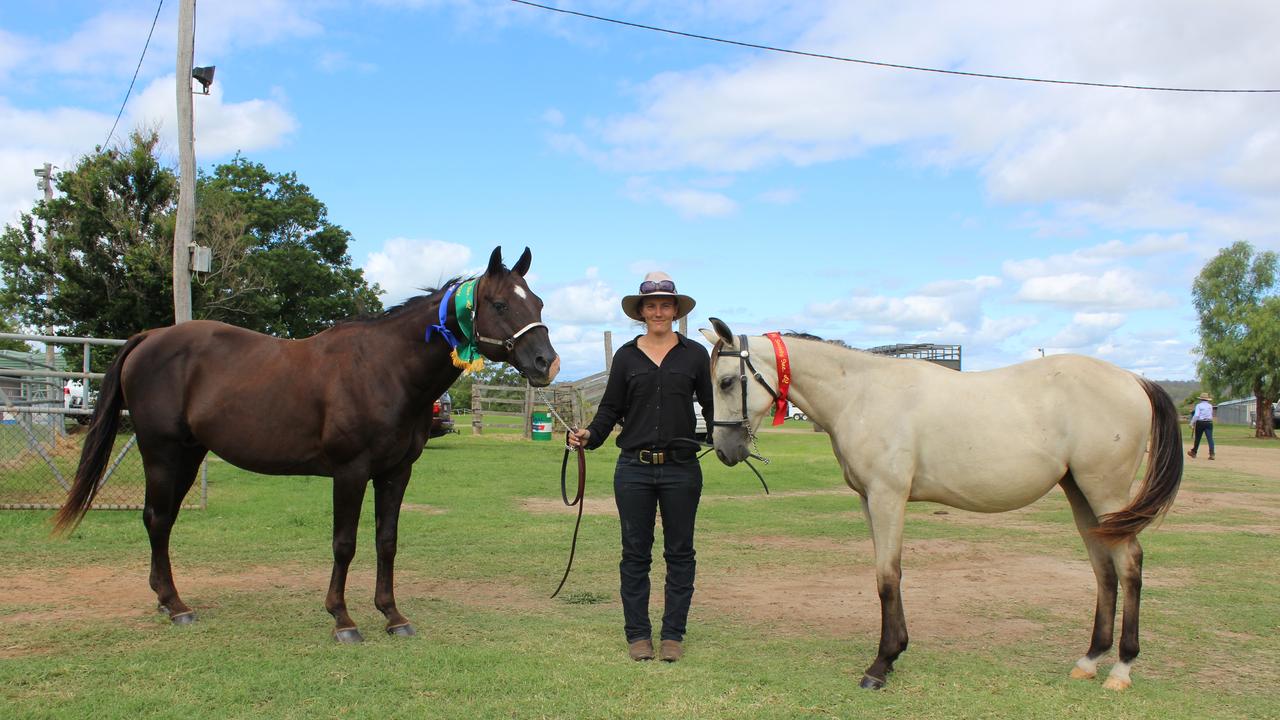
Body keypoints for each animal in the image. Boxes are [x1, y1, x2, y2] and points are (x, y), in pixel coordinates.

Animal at [55, 245, 558, 638]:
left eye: (537, 302)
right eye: (498, 304)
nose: (546, 363)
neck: (384, 368)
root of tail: (150, 338)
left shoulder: (396, 472)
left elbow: (387, 541)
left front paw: (392, 615)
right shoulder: (350, 472)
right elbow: (345, 543)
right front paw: (343, 619)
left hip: (189, 455)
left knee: (163, 520)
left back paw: (166, 600)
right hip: (161, 452)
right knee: (158, 520)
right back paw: (176, 606)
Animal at [701, 319, 1177, 691]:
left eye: (725, 382)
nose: (723, 449)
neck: (862, 394)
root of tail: (1134, 380)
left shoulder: (888, 497)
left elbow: (887, 577)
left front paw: (881, 664)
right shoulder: (869, 501)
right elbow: (884, 573)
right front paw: (894, 654)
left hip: (1105, 491)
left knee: (1129, 564)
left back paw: (1121, 668)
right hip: (1081, 493)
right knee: (1104, 569)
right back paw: (1090, 660)